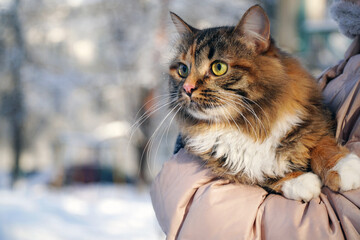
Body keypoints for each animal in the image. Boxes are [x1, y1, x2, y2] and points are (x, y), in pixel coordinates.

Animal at [168, 4, 360, 202]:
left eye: (218, 67)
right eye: (183, 70)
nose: (187, 88)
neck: (247, 125)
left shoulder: (314, 119)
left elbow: (321, 143)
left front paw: (343, 167)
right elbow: (261, 174)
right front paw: (298, 181)